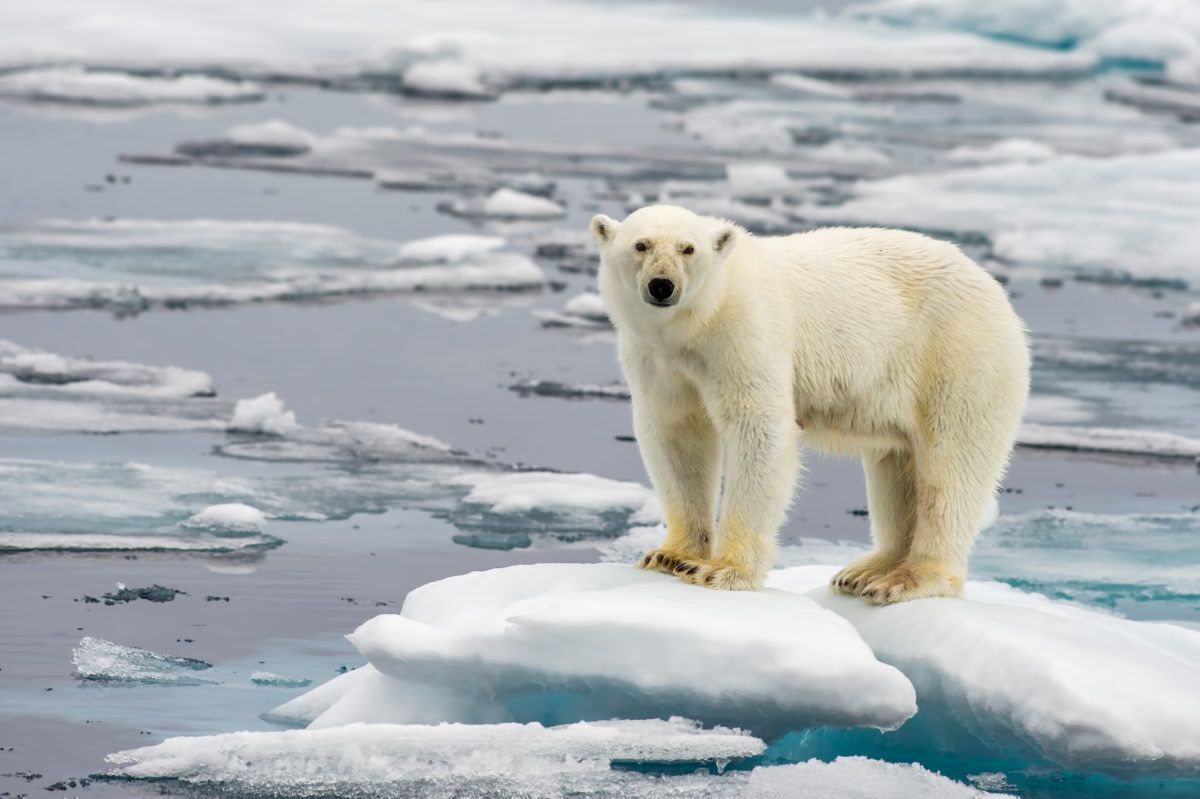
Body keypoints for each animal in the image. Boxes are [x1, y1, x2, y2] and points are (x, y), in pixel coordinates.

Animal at [590, 205, 1029, 603]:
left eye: (688, 248)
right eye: (641, 245)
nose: (662, 286)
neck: (697, 323)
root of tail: (996, 291)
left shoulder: (744, 333)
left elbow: (759, 429)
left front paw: (722, 570)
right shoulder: (656, 358)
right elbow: (676, 436)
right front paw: (670, 556)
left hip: (957, 355)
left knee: (951, 467)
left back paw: (908, 579)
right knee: (898, 466)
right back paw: (865, 572)